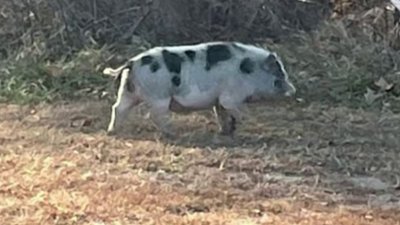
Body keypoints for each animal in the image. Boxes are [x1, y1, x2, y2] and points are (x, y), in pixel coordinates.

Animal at [103, 41, 296, 138]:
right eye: (279, 75)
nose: (293, 90)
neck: (250, 70)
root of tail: (132, 62)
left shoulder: (219, 101)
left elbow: (222, 114)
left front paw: (225, 132)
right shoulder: (231, 97)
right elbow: (239, 111)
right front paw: (246, 124)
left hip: (127, 92)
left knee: (117, 108)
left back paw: (112, 131)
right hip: (159, 96)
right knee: (154, 115)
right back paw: (172, 133)